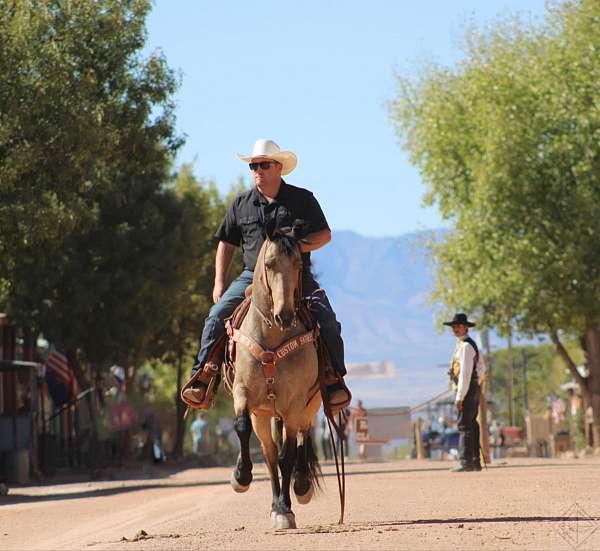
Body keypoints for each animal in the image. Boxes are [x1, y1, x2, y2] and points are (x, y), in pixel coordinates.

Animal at [225, 224, 322, 532]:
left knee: (302, 439)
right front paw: (241, 476)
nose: (285, 316)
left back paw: (301, 487)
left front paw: (286, 509)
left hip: (308, 406)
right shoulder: (244, 394)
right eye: (269, 264)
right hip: (265, 414)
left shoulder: (294, 404)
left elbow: (287, 455)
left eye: (299, 264)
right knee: (268, 454)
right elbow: (242, 428)